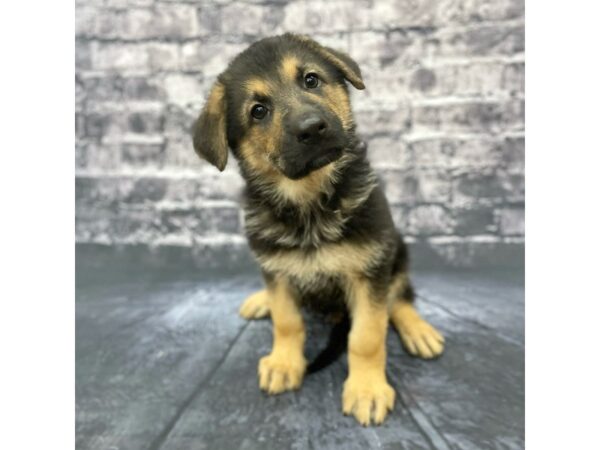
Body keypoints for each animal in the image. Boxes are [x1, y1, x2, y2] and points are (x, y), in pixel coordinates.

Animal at [193, 33, 446, 424]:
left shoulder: (370, 270)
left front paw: (367, 389)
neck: (309, 203)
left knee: (401, 295)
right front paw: (284, 363)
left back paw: (418, 329)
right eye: (258, 111)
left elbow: (367, 336)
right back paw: (260, 300)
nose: (312, 128)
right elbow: (287, 321)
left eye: (310, 80)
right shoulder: (279, 271)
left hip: (397, 249)